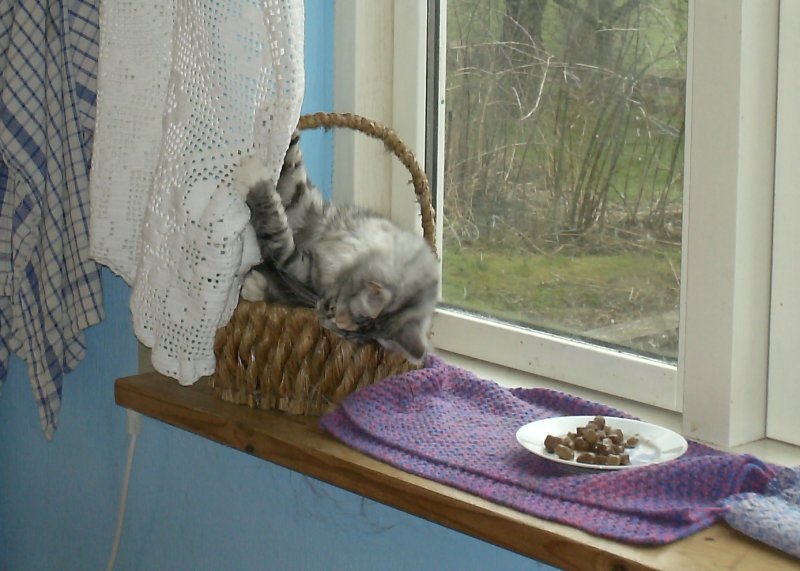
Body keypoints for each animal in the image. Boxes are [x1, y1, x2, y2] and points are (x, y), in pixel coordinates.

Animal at [234, 132, 440, 363]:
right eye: (334, 306)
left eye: (346, 332)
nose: (322, 315)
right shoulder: (310, 211)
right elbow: (293, 171)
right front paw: (293, 135)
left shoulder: (301, 268)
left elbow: (276, 230)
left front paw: (253, 175)